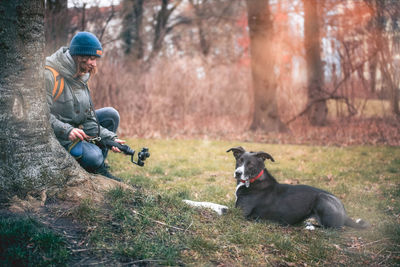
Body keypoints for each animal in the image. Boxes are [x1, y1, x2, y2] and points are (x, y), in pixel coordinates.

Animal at [227, 148, 370, 229]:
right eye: (239, 160)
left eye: (250, 165)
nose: (238, 173)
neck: (253, 180)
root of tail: (344, 212)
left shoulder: (241, 213)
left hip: (322, 199)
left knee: (333, 228)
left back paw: (310, 226)